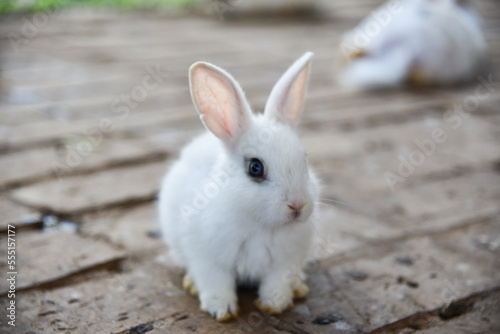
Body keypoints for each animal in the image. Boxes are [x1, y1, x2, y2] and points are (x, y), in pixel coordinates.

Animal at [158, 52, 318, 320]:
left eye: (305, 159)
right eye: (255, 167)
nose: (297, 205)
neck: (260, 224)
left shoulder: (286, 262)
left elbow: (277, 284)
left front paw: (274, 305)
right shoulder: (207, 258)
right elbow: (215, 283)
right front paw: (222, 310)